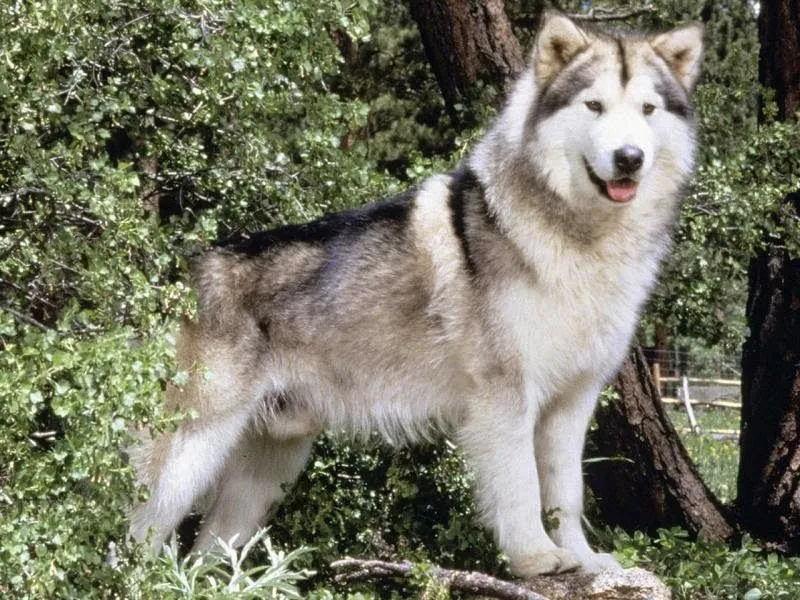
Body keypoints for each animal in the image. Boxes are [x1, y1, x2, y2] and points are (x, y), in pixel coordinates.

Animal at [128, 10, 704, 576]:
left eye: (647, 109)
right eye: (594, 105)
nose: (628, 157)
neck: (581, 242)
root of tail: (174, 276)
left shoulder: (570, 407)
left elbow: (567, 494)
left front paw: (583, 561)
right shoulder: (504, 400)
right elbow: (521, 490)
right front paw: (536, 560)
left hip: (263, 479)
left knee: (201, 556)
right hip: (187, 456)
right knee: (134, 537)